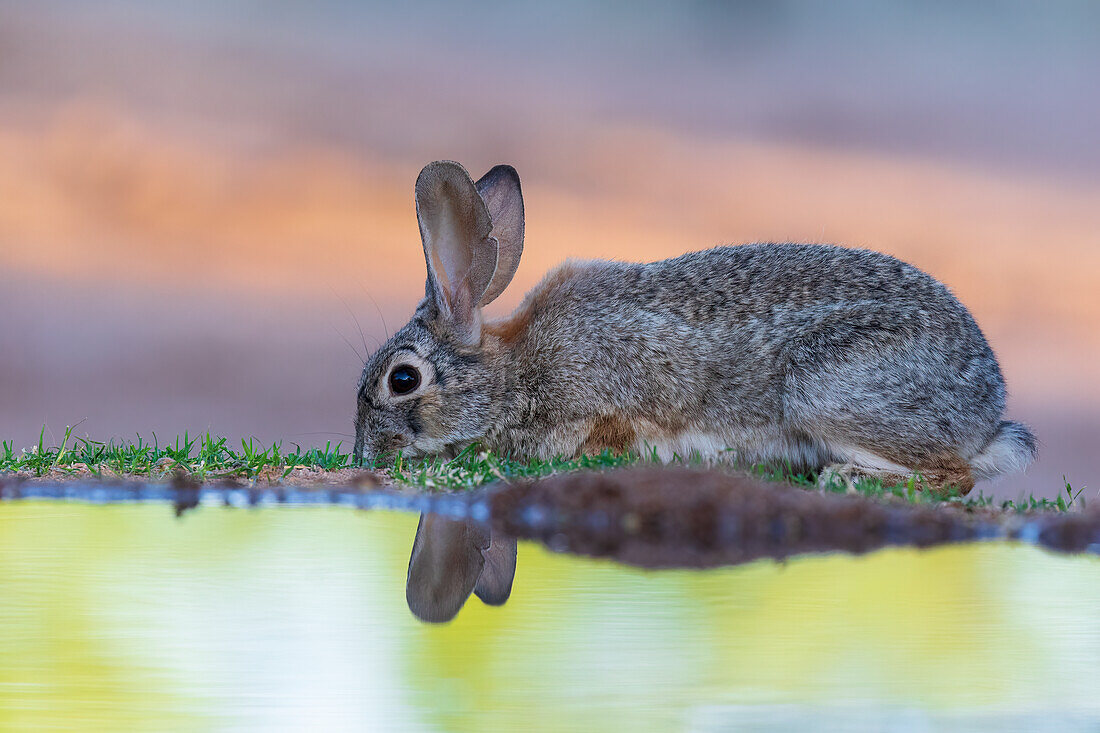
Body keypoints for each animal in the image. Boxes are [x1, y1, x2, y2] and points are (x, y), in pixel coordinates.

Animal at [354, 159, 1038, 490]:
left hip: (828, 389)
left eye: (403, 380)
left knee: (955, 477)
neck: (511, 375)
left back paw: (846, 476)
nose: (365, 454)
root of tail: (987, 412)